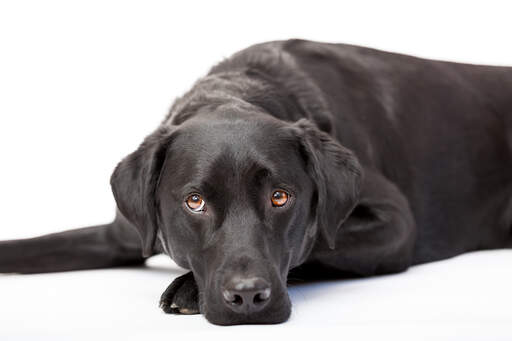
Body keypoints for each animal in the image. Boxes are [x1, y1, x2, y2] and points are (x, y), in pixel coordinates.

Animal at [1, 39, 512, 324]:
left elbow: (316, 245)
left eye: (280, 197)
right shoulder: (120, 232)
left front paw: (187, 288)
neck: (237, 90)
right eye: (194, 201)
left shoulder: (396, 223)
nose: (247, 296)